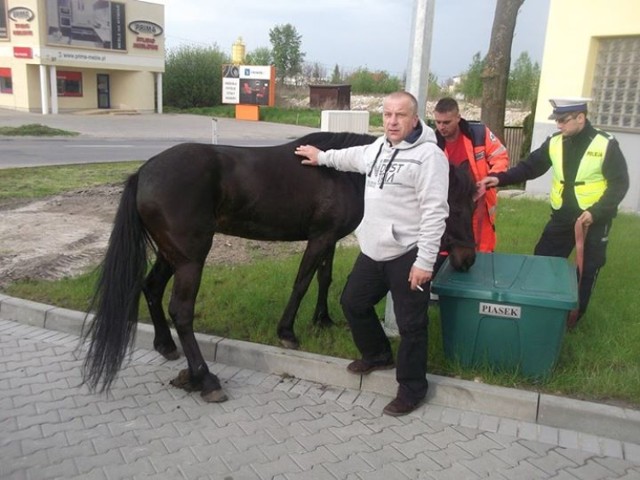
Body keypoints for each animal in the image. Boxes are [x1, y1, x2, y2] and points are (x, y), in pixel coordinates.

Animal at [81, 131, 476, 402]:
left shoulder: (328, 239)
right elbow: (302, 282)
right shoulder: (319, 239)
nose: (467, 259)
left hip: (171, 255)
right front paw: (287, 331)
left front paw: (322, 320)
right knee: (181, 310)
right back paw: (205, 379)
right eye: (453, 207)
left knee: (151, 288)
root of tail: (143, 173)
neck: (343, 175)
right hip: (191, 259)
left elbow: (324, 279)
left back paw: (165, 346)